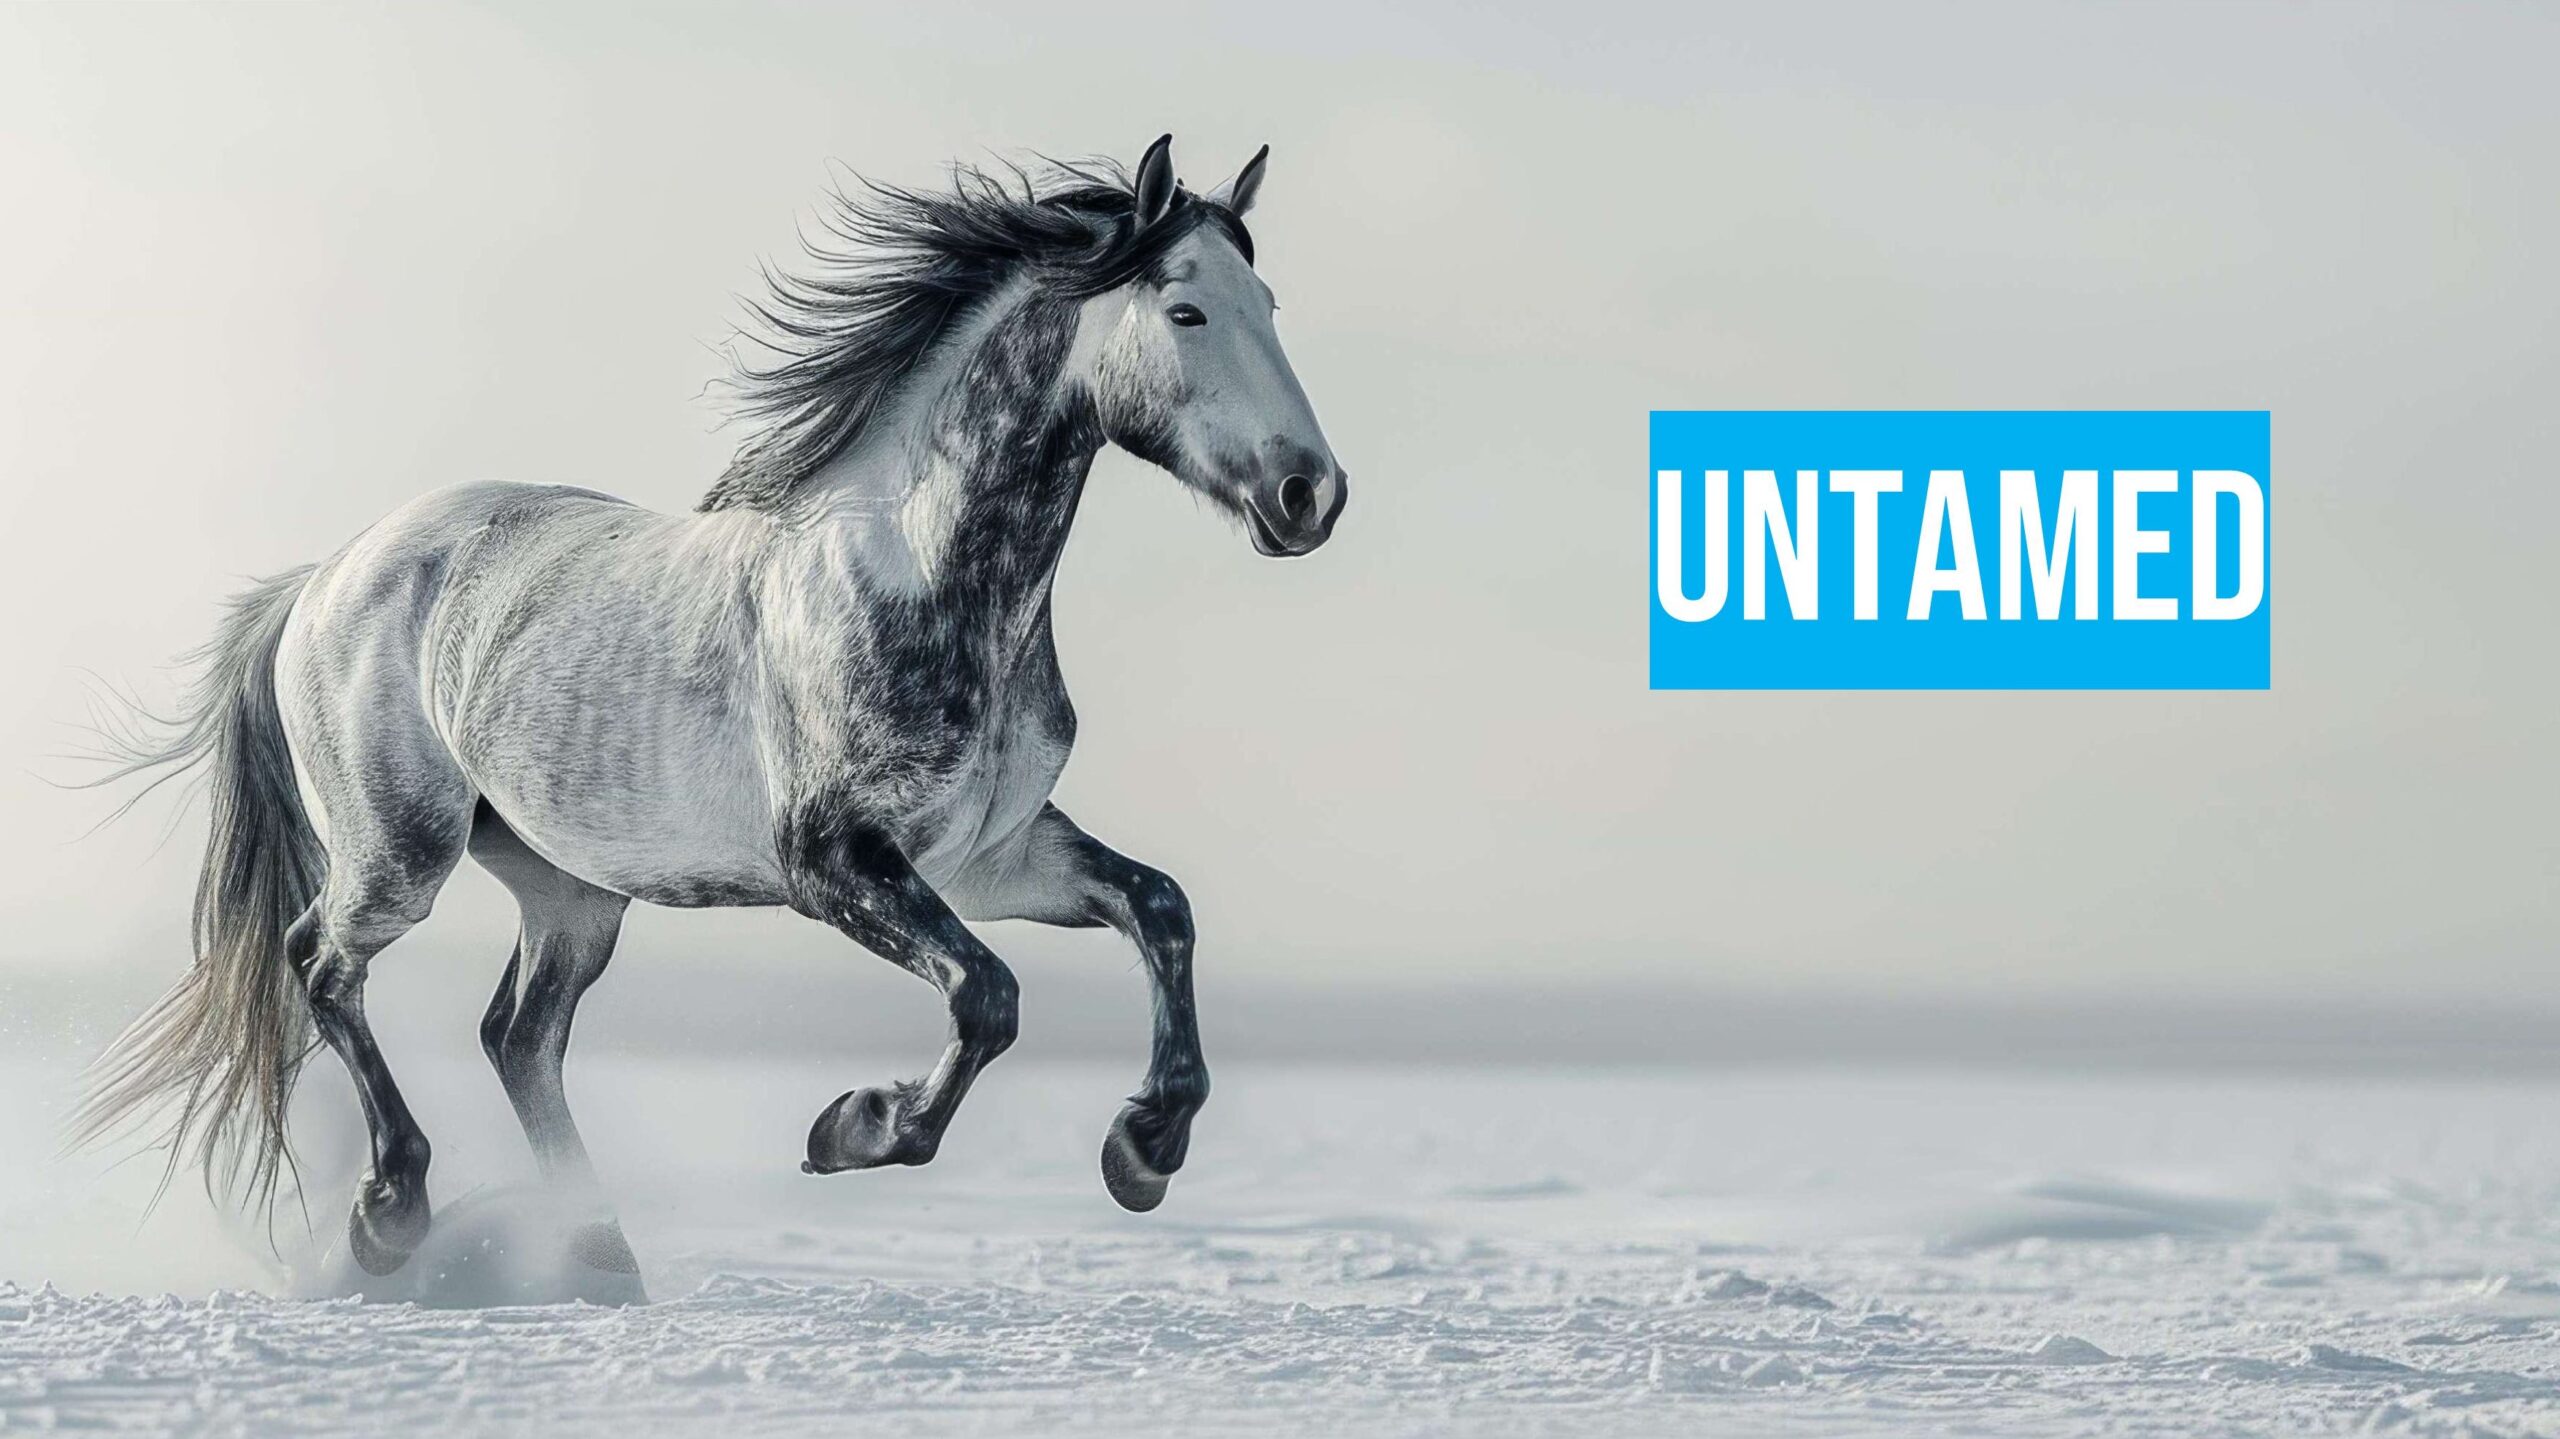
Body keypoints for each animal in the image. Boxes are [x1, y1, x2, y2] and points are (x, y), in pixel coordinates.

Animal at [73, 134, 1347, 1284]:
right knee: (323, 960)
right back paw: (394, 1208)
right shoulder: (834, 861)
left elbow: (1160, 908)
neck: (925, 578)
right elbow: (988, 996)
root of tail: (326, 574)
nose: (1309, 493)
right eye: (1185, 309)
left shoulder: (990, 857)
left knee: (518, 1035)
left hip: (571, 889)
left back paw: (600, 1257)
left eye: (1270, 301)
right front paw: (858, 1126)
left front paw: (1145, 1146)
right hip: (402, 852)